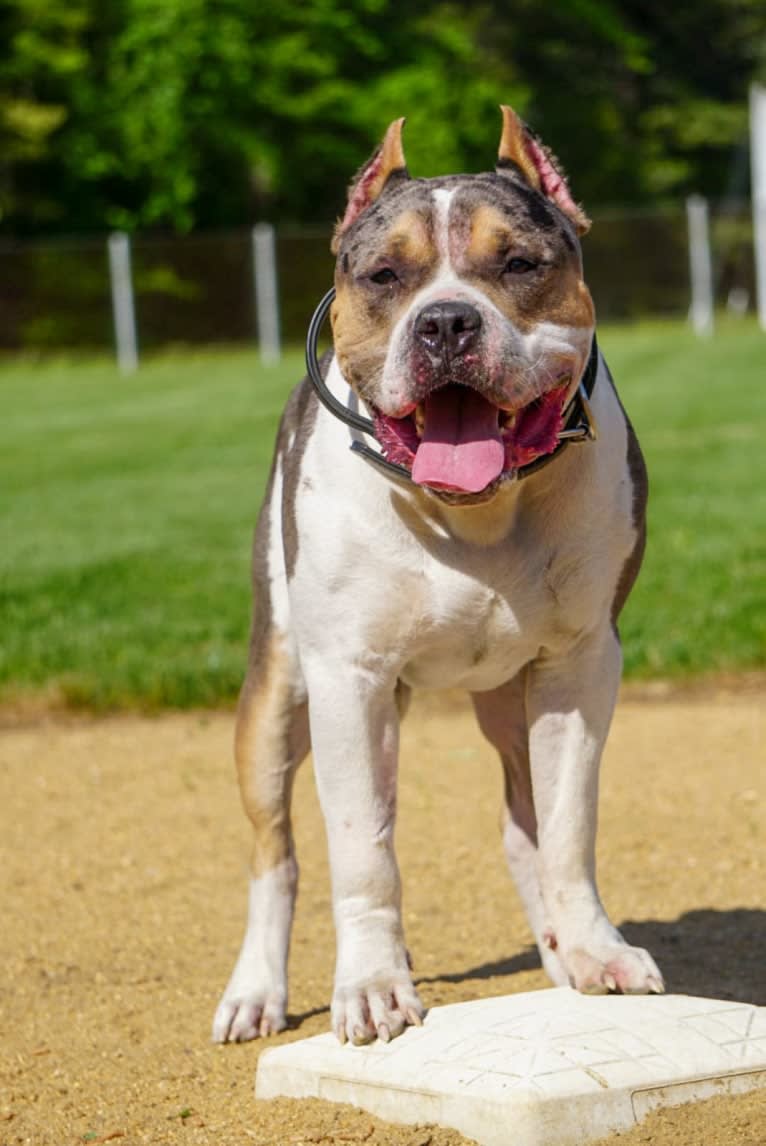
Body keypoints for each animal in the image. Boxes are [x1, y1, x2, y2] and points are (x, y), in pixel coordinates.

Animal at [210, 107, 665, 1049]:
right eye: (385, 275)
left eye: (520, 264)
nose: (447, 323)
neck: (475, 512)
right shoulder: (349, 679)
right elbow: (363, 849)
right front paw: (373, 987)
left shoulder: (579, 666)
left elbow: (568, 826)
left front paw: (596, 952)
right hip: (274, 693)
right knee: (276, 853)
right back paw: (256, 991)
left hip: (511, 700)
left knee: (524, 826)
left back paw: (561, 953)